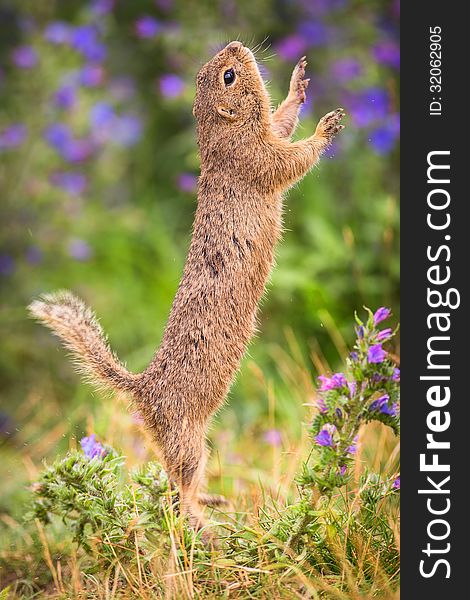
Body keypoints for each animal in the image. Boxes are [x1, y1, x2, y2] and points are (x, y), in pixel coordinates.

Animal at [30, 44, 346, 536]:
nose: (234, 46)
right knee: (178, 491)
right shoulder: (257, 158)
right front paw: (325, 128)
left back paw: (212, 503)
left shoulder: (267, 135)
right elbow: (293, 160)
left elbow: (282, 120)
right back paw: (204, 521)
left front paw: (298, 84)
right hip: (189, 440)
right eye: (229, 76)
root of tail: (143, 390)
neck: (221, 134)